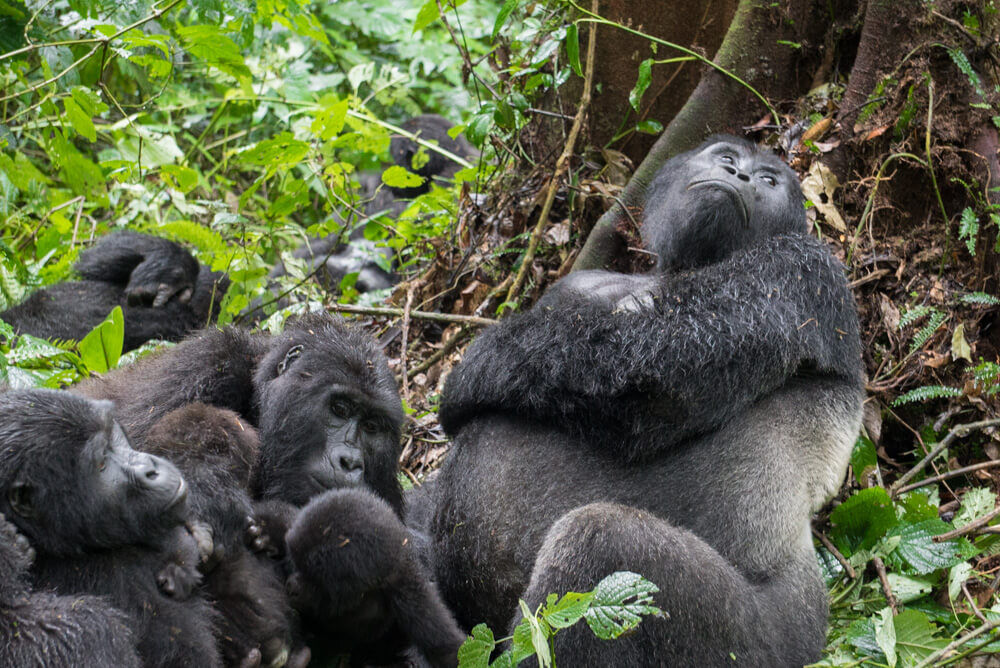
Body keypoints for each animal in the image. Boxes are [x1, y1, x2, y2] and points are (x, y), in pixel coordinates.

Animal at [428, 133, 860, 664]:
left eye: (768, 180)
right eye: (726, 159)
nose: (739, 177)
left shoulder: (802, 265)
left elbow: (660, 371)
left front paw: (473, 370)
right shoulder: (574, 285)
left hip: (778, 646)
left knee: (599, 547)